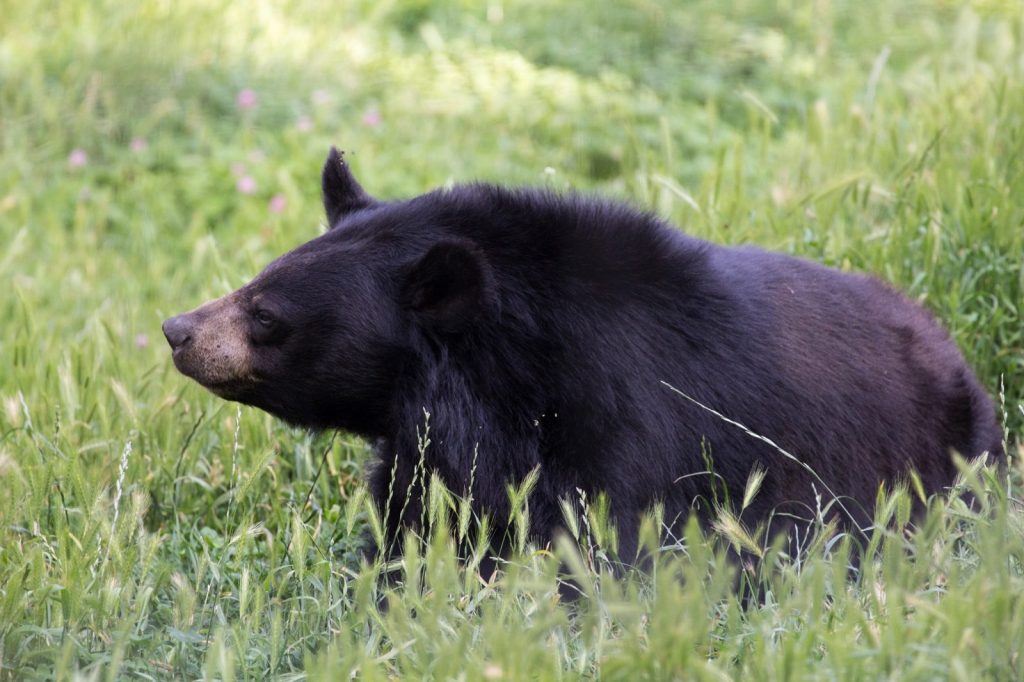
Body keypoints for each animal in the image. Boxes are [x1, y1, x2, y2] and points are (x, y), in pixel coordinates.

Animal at [163, 147, 1003, 561]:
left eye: (265, 312)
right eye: (255, 279)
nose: (178, 330)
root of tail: (953, 355)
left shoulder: (628, 424)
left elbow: (605, 544)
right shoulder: (427, 448)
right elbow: (417, 526)